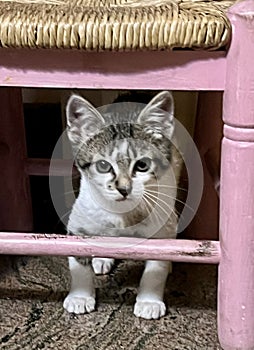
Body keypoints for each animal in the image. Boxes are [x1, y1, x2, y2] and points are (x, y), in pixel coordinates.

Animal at [63, 91, 183, 320]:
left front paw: (149, 302)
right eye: (103, 165)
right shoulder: (78, 220)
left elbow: (156, 267)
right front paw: (80, 297)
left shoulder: (162, 225)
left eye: (142, 165)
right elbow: (78, 262)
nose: (124, 188)